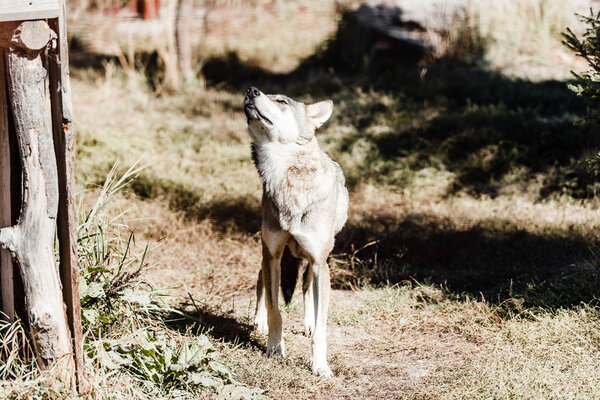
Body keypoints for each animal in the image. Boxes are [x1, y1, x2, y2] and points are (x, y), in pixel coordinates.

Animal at [243, 86, 346, 376]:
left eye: (281, 101)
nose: (251, 90)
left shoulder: (320, 263)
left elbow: (321, 328)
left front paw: (320, 366)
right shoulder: (272, 255)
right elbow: (274, 309)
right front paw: (274, 349)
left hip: (314, 262)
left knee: (306, 287)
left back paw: (308, 323)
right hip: (268, 257)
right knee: (260, 283)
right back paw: (259, 322)